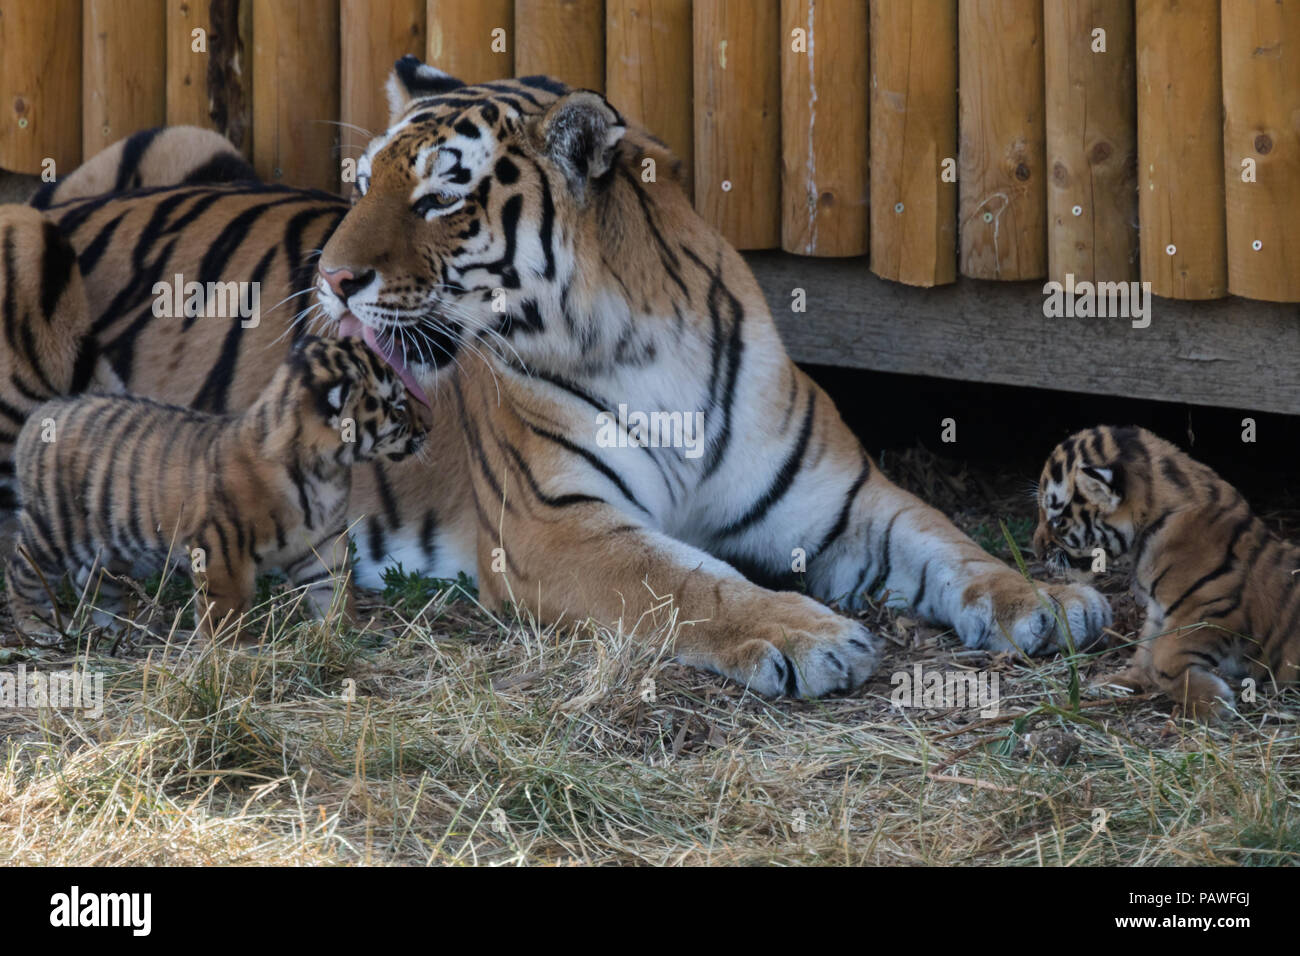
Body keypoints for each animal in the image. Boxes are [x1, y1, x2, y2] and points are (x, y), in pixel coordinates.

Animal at [2, 335, 423, 642]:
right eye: (398, 407)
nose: (429, 428)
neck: (326, 468)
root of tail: (48, 409)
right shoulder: (221, 544)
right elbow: (225, 603)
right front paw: (230, 647)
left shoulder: (321, 543)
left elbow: (332, 587)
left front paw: (341, 631)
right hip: (54, 528)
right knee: (21, 565)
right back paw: (37, 623)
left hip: (108, 544)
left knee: (91, 579)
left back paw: (122, 627)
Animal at [1034, 426, 1300, 717]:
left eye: (1057, 519)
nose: (1035, 551)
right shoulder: (1159, 610)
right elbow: (1146, 648)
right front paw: (1116, 682)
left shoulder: (1213, 611)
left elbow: (1164, 658)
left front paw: (1213, 702)